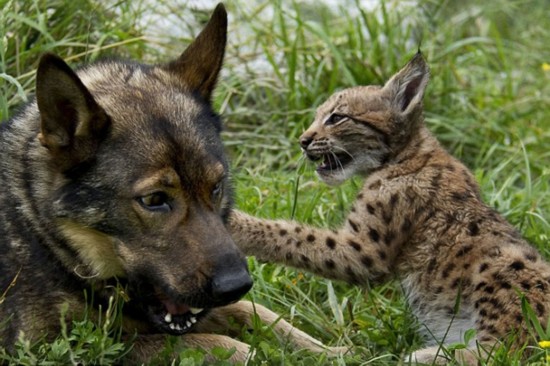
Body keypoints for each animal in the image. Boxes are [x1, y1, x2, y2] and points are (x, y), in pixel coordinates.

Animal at [0, 3, 342, 364]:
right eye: (154, 200)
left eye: (216, 187)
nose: (236, 285)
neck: (38, 230)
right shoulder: (47, 348)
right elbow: (207, 344)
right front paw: (248, 351)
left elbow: (255, 312)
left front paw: (329, 350)